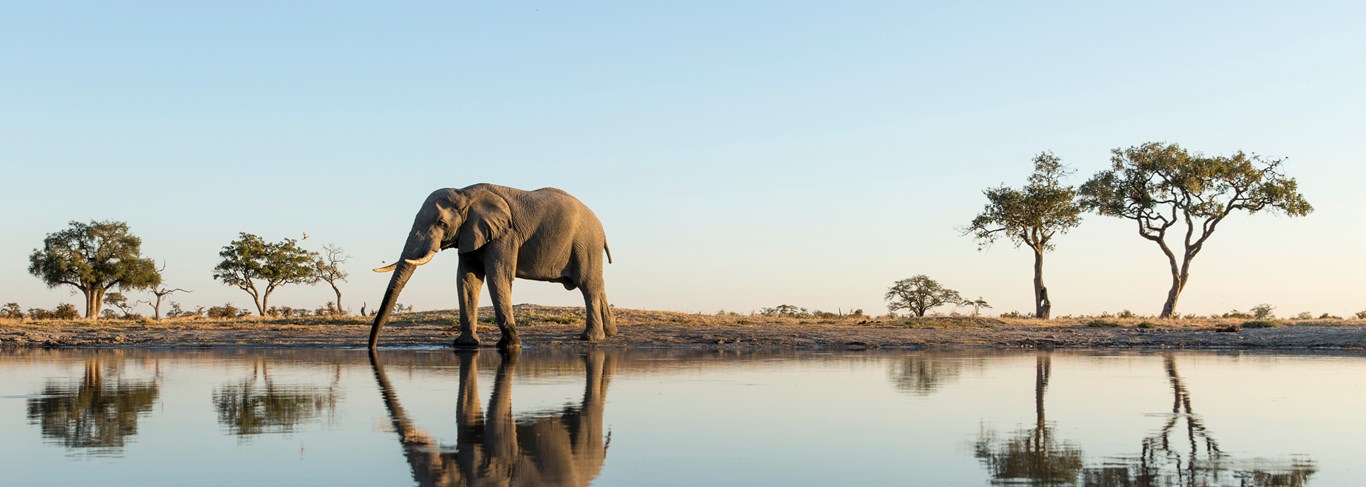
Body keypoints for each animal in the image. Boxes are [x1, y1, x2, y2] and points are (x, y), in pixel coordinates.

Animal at [368, 182, 614, 349]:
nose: (372, 348)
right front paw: (465, 344)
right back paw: (611, 332)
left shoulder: (505, 235)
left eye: (441, 223)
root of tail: (601, 226)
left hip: (585, 243)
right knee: (598, 284)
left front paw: (510, 345)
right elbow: (467, 279)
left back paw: (591, 338)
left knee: (588, 286)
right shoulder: (469, 234)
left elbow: (498, 276)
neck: (465, 193)